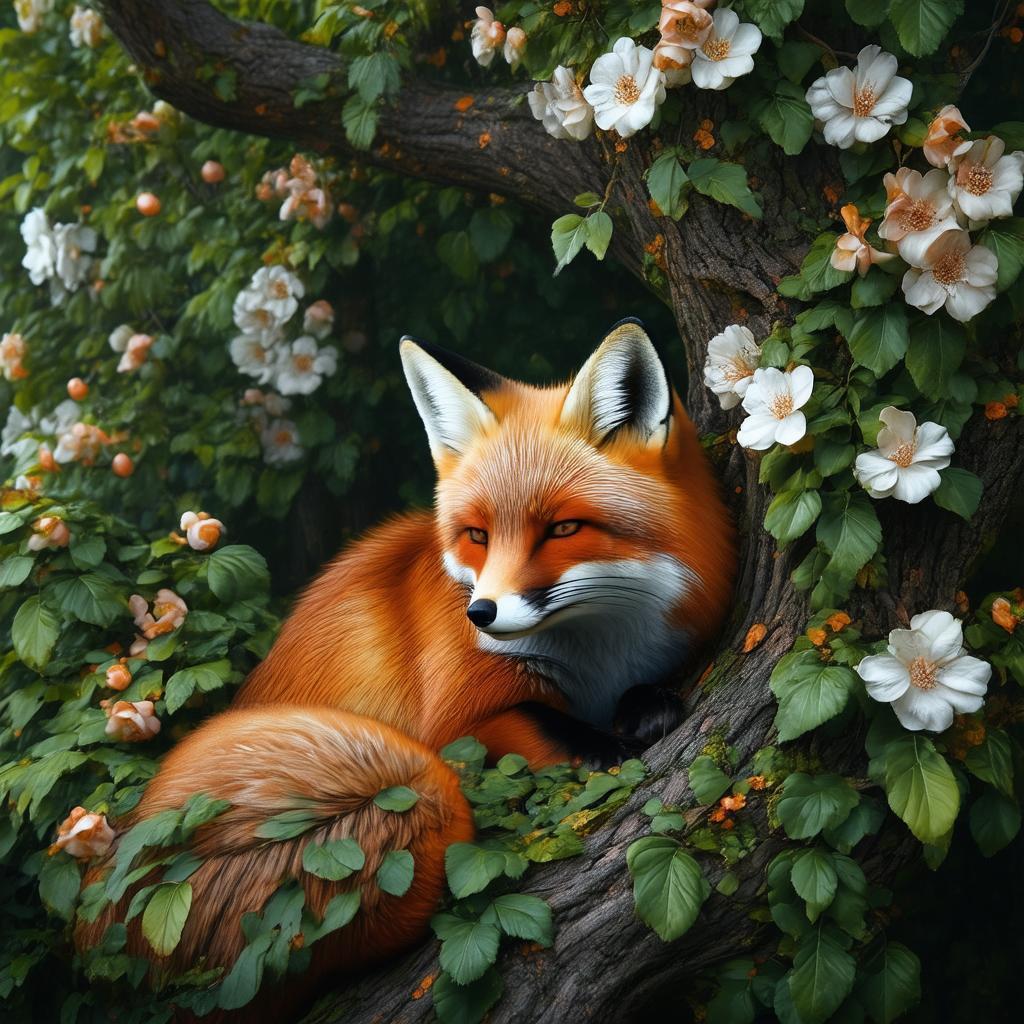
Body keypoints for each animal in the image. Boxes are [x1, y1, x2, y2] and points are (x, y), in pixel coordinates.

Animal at [75, 319, 735, 1017]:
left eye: (563, 529)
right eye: (477, 535)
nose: (480, 613)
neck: (598, 654)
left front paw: (644, 706)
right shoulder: (459, 715)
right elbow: (556, 733)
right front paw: (611, 744)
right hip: (418, 788)